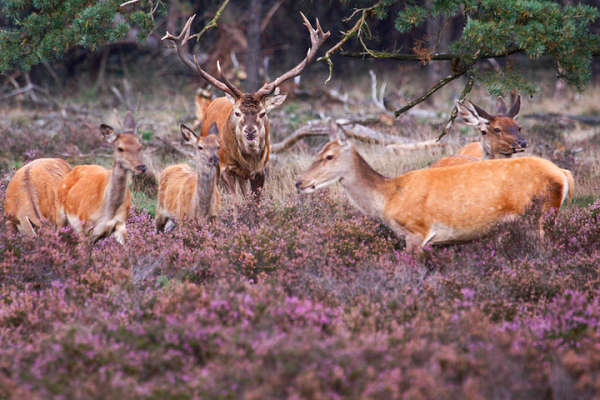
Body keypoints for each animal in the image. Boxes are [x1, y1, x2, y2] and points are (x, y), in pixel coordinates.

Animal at [57, 111, 146, 244]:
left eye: (140, 146)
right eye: (120, 148)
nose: (141, 167)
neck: (108, 212)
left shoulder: (121, 224)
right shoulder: (85, 225)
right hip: (60, 214)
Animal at [162, 13, 330, 200]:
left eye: (263, 113)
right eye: (237, 113)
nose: (250, 132)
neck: (247, 161)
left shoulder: (260, 170)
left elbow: (255, 200)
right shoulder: (225, 167)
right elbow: (235, 201)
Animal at [296, 120, 572, 252]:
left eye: (328, 156)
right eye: (317, 151)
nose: (300, 181)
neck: (389, 198)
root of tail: (563, 174)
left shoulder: (417, 232)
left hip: (541, 215)